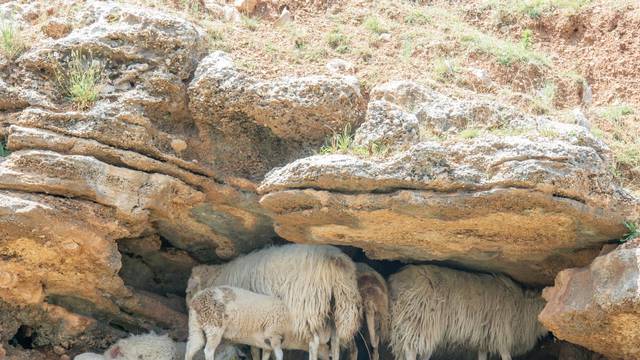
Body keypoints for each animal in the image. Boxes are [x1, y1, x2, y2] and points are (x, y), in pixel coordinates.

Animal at [192, 243, 362, 358]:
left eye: (189, 289)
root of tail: (336, 261)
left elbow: (255, 348)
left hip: (305, 306)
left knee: (314, 341)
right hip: (337, 307)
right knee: (335, 342)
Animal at [388, 264, 548, 360]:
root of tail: (399, 281)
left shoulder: (484, 340)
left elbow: (482, 357)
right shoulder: (501, 335)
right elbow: (506, 356)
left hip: (407, 323)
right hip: (420, 322)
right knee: (410, 349)